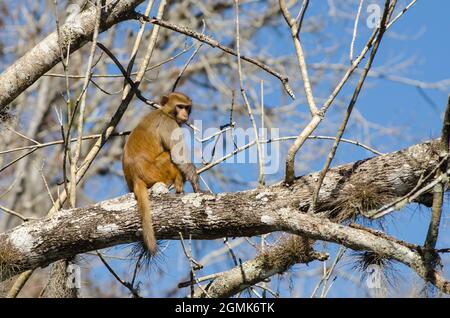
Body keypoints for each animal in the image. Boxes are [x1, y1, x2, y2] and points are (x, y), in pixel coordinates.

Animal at [122, 91, 201, 253]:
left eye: (187, 107)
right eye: (180, 106)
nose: (185, 114)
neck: (165, 112)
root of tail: (136, 178)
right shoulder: (169, 124)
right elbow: (178, 156)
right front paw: (196, 185)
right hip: (156, 172)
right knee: (169, 155)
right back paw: (178, 187)